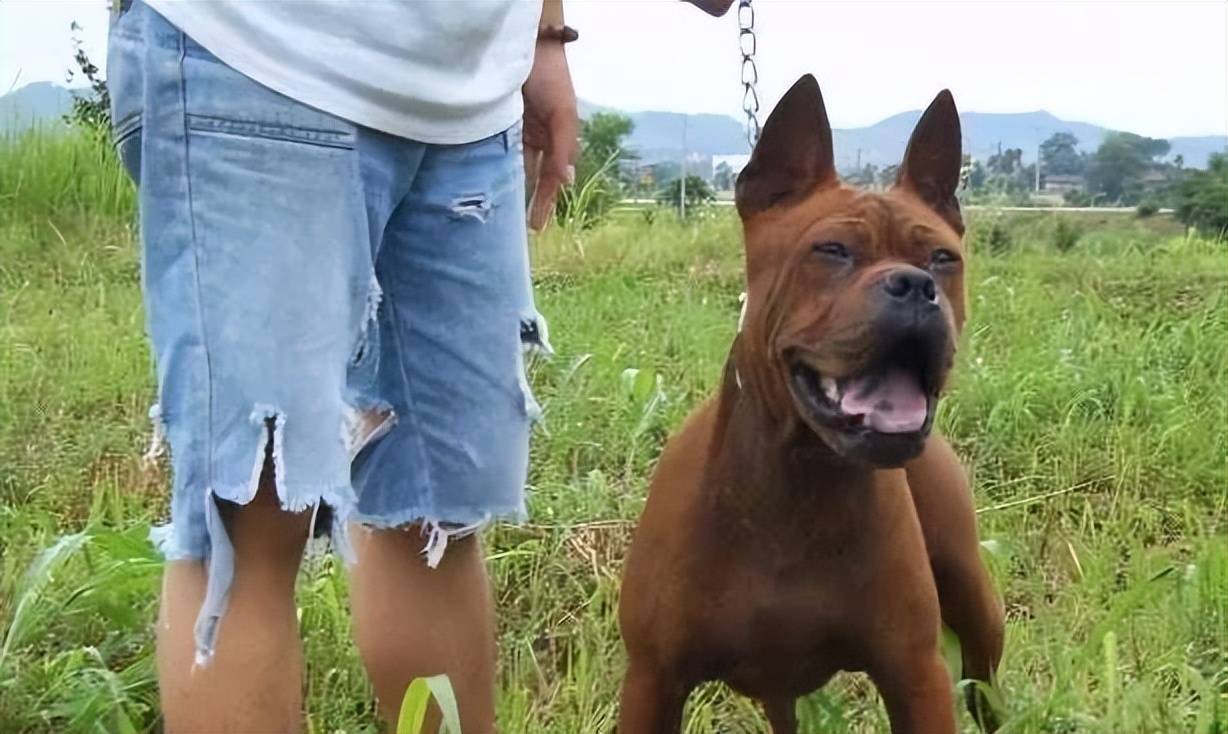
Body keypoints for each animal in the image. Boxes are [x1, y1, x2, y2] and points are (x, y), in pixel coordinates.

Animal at [618, 76, 1002, 734]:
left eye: (943, 259)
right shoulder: (652, 681)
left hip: (973, 601)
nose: (915, 286)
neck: (799, 479)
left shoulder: (916, 675)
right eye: (833, 250)